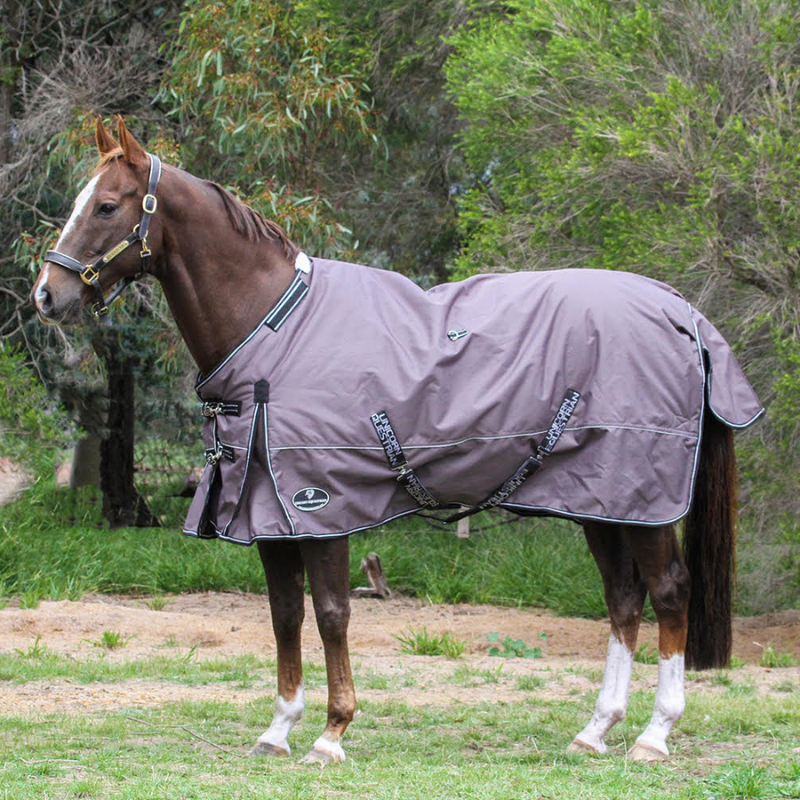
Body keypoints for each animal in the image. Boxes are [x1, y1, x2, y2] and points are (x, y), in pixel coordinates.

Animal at [32, 118, 762, 765]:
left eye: (105, 206)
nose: (47, 295)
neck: (274, 326)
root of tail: (682, 313)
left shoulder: (322, 506)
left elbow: (330, 613)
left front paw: (331, 734)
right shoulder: (270, 513)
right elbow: (284, 615)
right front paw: (278, 729)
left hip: (645, 502)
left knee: (669, 592)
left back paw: (654, 735)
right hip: (602, 502)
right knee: (622, 597)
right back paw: (595, 731)